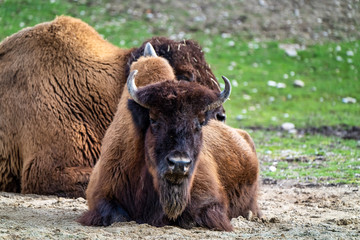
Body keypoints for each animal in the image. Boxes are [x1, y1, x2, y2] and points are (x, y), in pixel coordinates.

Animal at [79, 44, 260, 231]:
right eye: (153, 119)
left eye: (200, 123)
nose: (179, 164)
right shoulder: (101, 193)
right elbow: (116, 215)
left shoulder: (209, 199)